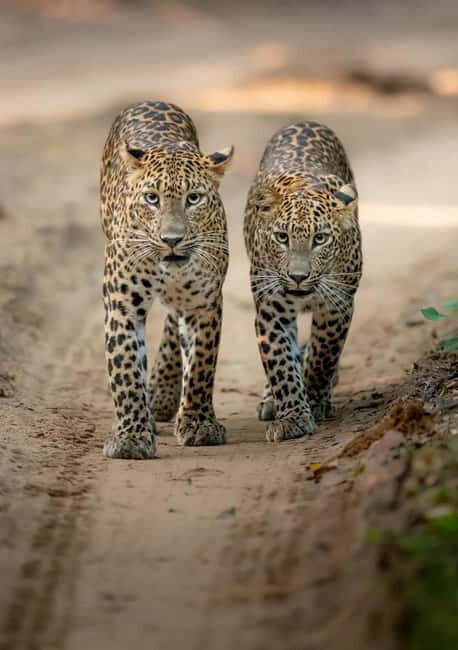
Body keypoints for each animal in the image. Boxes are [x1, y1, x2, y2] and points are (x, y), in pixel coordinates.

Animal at [100, 100, 233, 459]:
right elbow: (126, 368)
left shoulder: (204, 304)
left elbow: (201, 364)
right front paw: (131, 438)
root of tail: (151, 100)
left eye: (194, 198)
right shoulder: (121, 305)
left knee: (174, 326)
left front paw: (199, 424)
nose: (171, 239)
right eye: (152, 198)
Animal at [244, 121, 362, 442]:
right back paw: (270, 400)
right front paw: (293, 417)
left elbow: (323, 355)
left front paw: (314, 397)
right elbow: (281, 363)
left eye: (320, 239)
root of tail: (305, 122)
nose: (298, 277)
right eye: (281, 237)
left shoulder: (337, 307)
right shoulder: (271, 311)